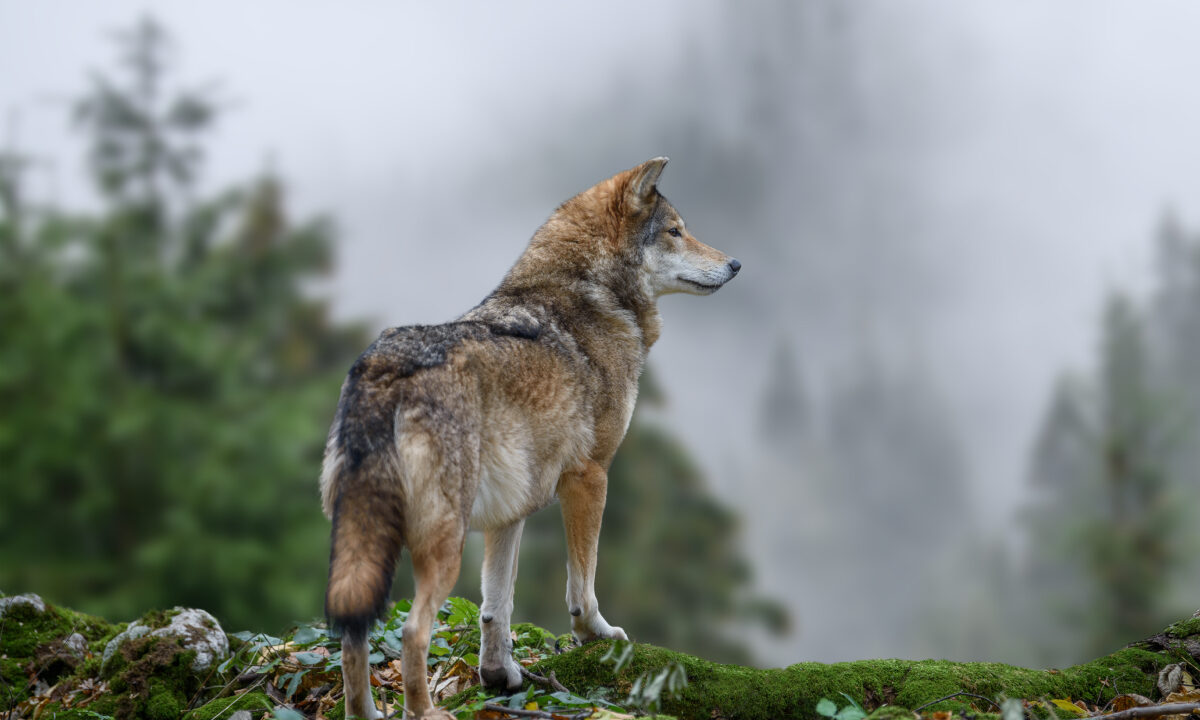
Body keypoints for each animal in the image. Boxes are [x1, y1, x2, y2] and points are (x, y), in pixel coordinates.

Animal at [320, 157, 740, 719]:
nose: (736, 263)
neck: (590, 296)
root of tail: (385, 370)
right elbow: (583, 583)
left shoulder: (511, 510)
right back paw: (426, 711)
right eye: (676, 231)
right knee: (410, 632)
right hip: (443, 544)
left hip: (367, 544)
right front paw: (596, 634)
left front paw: (500, 676)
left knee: (352, 635)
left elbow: (496, 606)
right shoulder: (589, 477)